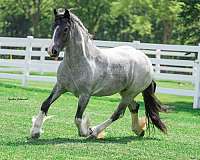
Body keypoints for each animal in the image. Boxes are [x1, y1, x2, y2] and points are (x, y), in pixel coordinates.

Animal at [30, 8, 167, 139]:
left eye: (65, 29)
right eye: (53, 26)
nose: (52, 51)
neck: (80, 62)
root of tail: (146, 60)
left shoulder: (85, 95)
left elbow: (78, 118)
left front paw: (85, 132)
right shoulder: (60, 87)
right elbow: (45, 104)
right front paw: (35, 132)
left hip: (129, 93)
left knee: (118, 113)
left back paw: (94, 132)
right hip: (125, 92)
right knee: (134, 107)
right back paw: (138, 131)